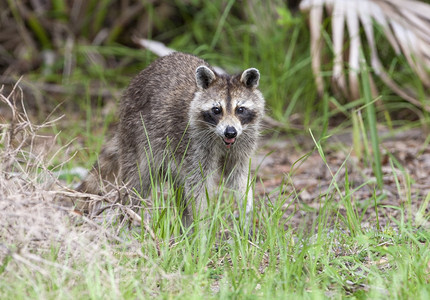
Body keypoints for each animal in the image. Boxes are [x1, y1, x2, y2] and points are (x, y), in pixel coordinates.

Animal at [78, 52, 266, 227]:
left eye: (240, 109)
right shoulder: (194, 145)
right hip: (135, 135)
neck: (220, 138)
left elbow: (239, 176)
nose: (230, 132)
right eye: (216, 110)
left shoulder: (243, 142)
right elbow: (197, 185)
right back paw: (128, 219)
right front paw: (202, 224)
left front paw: (246, 209)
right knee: (136, 181)